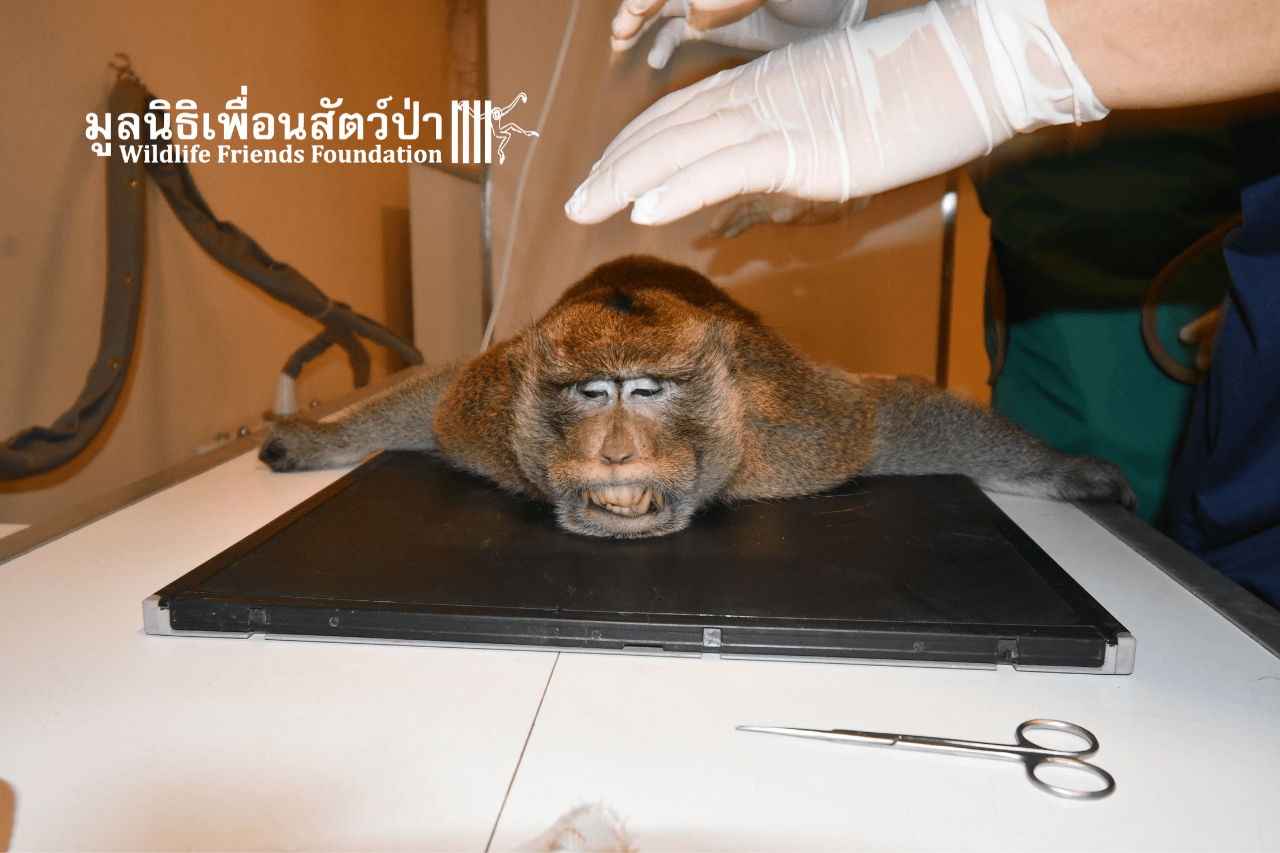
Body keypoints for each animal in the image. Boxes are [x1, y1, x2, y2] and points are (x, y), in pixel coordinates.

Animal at [259, 255, 1136, 539]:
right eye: (592, 392)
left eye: (648, 391)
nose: (617, 450)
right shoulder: (487, 414)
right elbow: (441, 397)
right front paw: (315, 437)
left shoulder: (792, 433)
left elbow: (889, 415)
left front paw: (1067, 470)